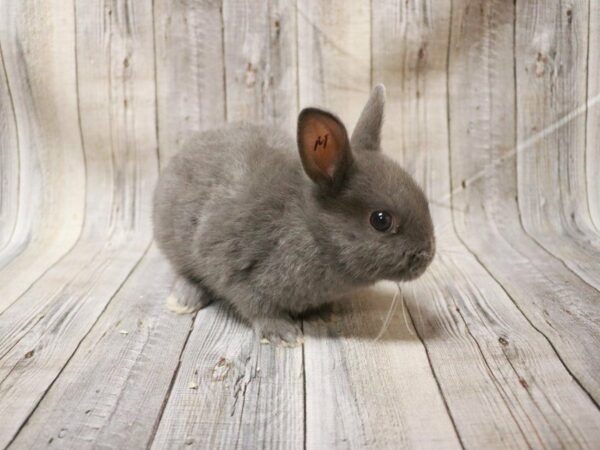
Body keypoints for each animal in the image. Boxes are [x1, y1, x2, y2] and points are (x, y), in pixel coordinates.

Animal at [154, 84, 436, 344]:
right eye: (381, 220)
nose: (426, 256)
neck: (312, 230)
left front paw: (325, 315)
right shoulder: (238, 271)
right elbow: (256, 305)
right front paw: (282, 335)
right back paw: (183, 300)